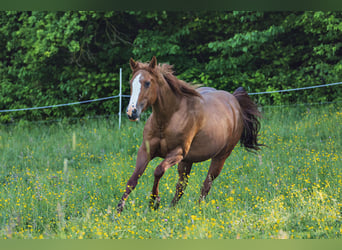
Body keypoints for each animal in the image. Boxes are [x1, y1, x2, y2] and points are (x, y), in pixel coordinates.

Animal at [116, 56, 264, 213]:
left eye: (147, 83)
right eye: (131, 83)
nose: (131, 112)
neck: (168, 119)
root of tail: (235, 101)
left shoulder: (177, 153)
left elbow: (158, 171)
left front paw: (153, 202)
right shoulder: (146, 150)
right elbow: (133, 179)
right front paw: (119, 209)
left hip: (220, 157)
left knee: (206, 185)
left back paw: (197, 208)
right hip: (188, 161)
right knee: (181, 186)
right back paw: (171, 209)